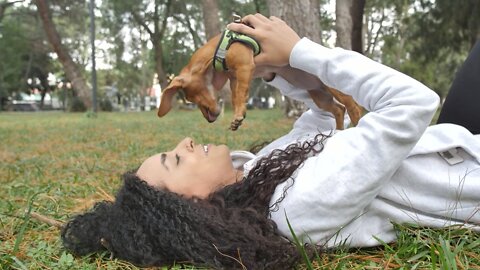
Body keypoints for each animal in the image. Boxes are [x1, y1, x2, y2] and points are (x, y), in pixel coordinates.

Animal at [158, 27, 364, 130]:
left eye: (190, 97)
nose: (209, 120)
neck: (218, 50)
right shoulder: (235, 78)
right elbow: (236, 96)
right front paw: (238, 115)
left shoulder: (244, 68)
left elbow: (241, 94)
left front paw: (238, 115)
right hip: (320, 96)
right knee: (339, 110)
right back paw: (338, 133)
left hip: (334, 88)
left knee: (353, 108)